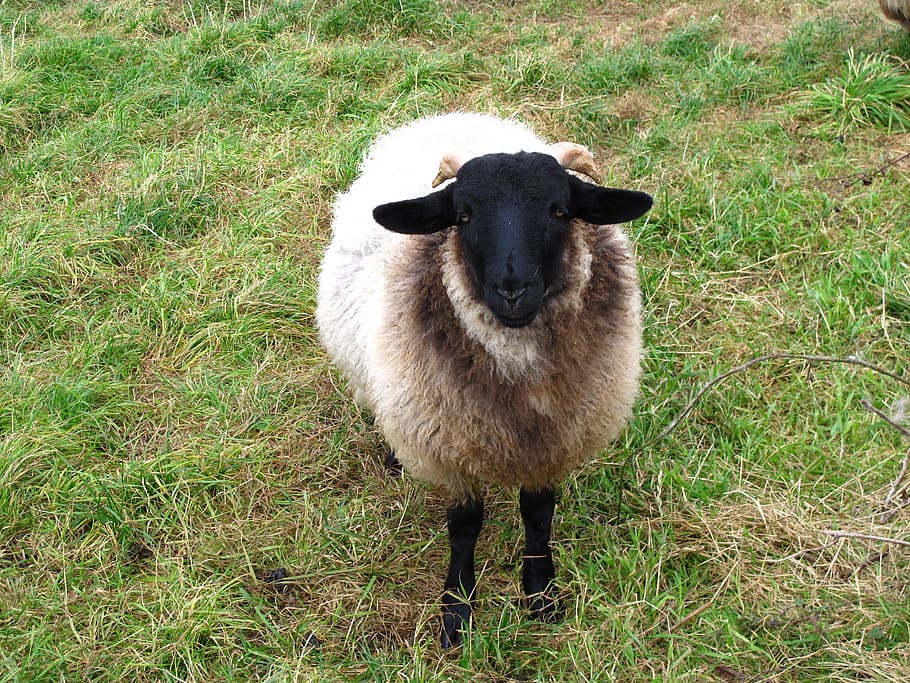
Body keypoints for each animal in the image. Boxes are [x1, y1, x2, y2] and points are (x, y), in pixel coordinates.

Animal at [316, 112, 652, 648]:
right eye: (464, 216)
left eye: (560, 210)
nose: (512, 291)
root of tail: (452, 116)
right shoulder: (449, 445)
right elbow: (465, 526)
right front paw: (456, 610)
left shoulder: (550, 441)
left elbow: (538, 515)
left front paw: (540, 593)